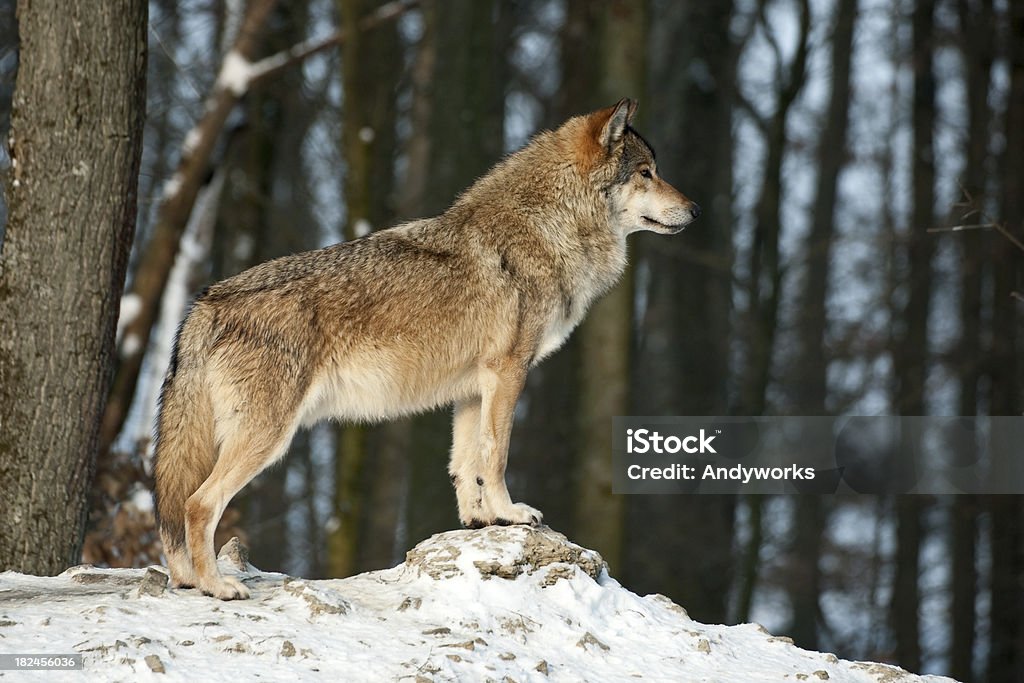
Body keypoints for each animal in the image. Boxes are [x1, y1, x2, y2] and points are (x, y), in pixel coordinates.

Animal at [153, 97, 696, 598]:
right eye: (647, 173)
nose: (695, 210)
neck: (549, 227)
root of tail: (207, 301)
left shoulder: (475, 389)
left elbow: (468, 463)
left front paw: (481, 521)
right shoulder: (508, 372)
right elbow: (496, 455)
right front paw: (511, 513)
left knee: (177, 507)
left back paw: (187, 580)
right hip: (268, 437)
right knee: (197, 504)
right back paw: (218, 586)